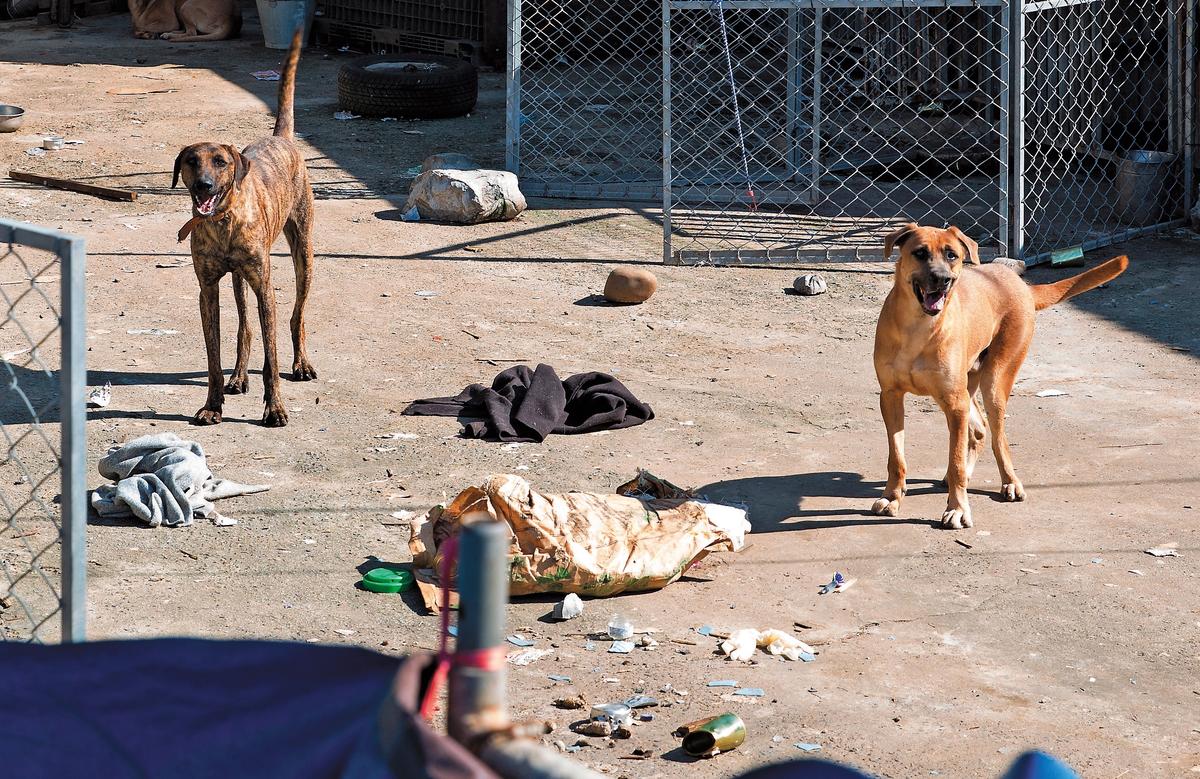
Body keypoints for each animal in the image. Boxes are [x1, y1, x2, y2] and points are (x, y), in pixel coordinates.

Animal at [174, 30, 316, 427]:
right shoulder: (207, 290)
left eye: (220, 162)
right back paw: (238, 375)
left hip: (303, 254)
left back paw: (301, 363)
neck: (223, 221)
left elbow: (272, 359)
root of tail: (282, 137)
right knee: (244, 325)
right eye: (191, 161)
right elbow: (213, 358)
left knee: (297, 315)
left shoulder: (265, 287)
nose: (204, 185)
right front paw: (213, 404)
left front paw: (275, 408)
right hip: (238, 280)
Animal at [868, 224, 1128, 528]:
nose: (942, 279)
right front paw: (892, 497)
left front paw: (958, 508)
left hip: (994, 382)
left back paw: (1010, 482)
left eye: (951, 255)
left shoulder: (954, 402)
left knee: (997, 437)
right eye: (919, 253)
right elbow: (896, 458)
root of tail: (1021, 284)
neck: (918, 327)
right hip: (967, 387)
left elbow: (956, 461)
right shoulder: (891, 397)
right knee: (979, 429)